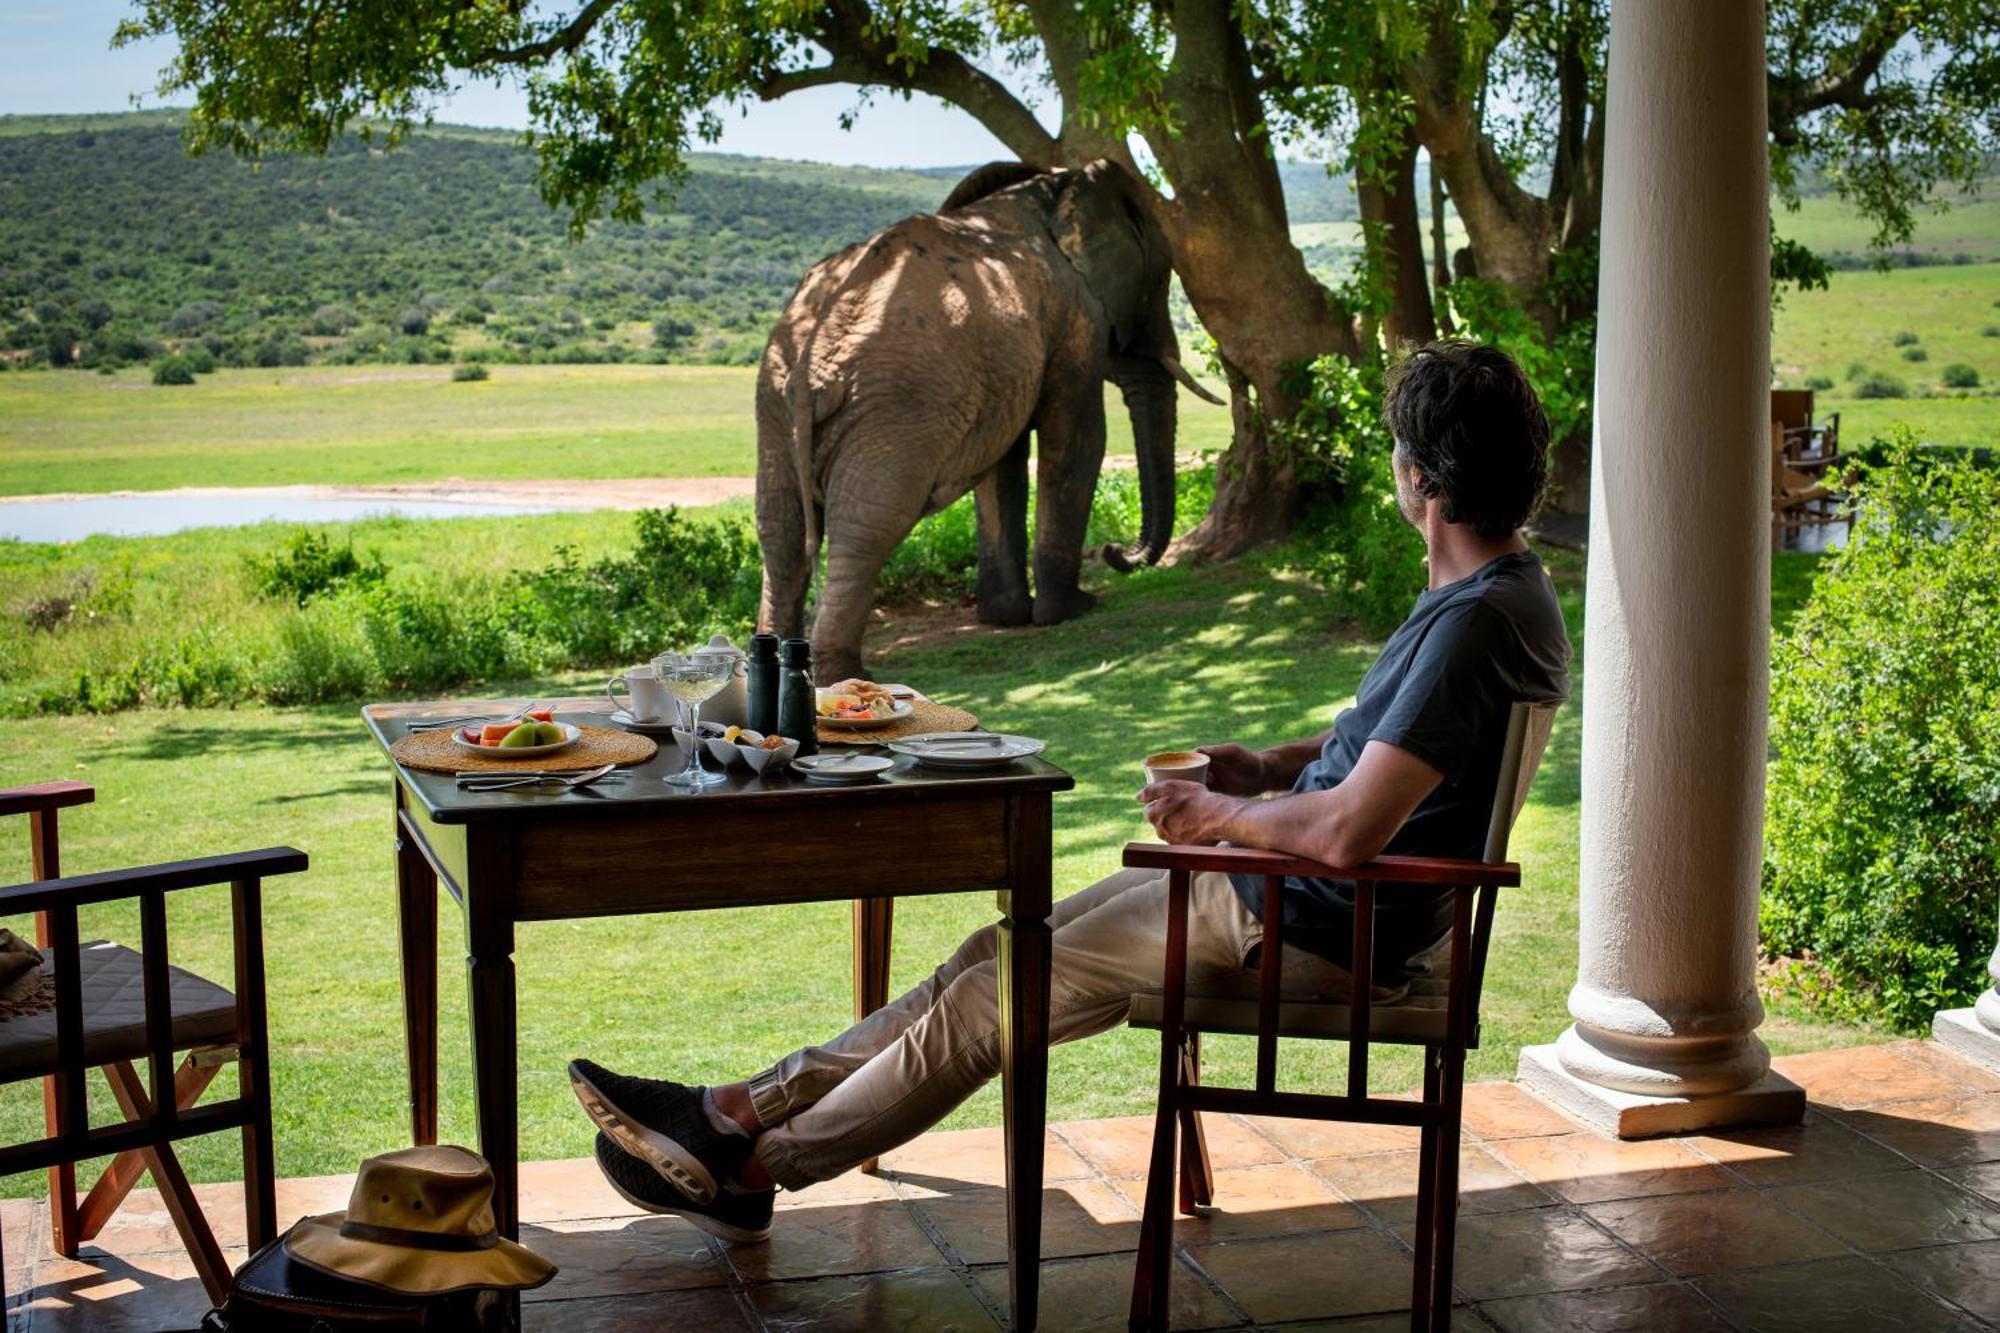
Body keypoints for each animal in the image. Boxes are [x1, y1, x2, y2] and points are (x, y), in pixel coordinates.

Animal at [752, 156, 1216, 680]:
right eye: (1159, 281)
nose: (1114, 552)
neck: (1053, 183)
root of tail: (812, 369)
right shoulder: (1076, 314)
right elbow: (1075, 441)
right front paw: (1072, 610)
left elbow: (1001, 465)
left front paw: (1006, 618)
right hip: (894, 408)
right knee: (865, 528)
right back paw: (847, 677)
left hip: (774, 403)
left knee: (781, 533)